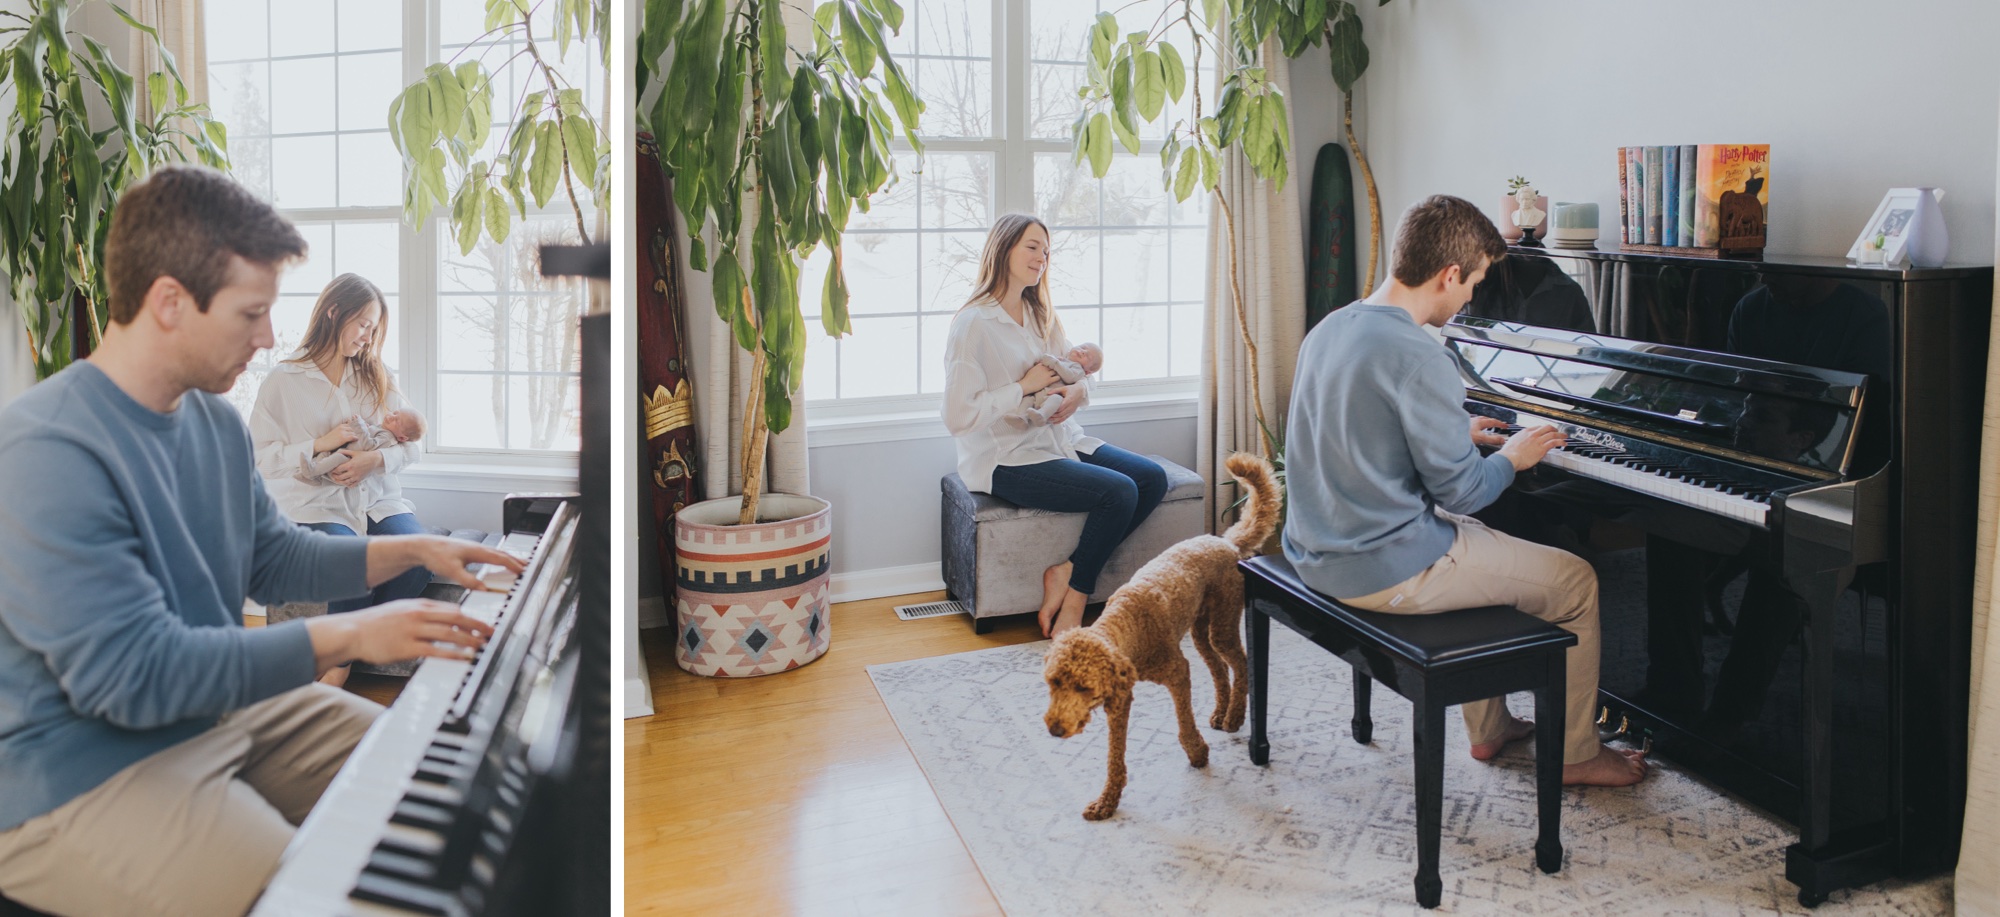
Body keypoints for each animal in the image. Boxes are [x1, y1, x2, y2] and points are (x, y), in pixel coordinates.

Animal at [1048, 454, 1280, 820]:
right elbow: (1115, 757)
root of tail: (1225, 541)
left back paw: (1234, 717)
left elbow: (1183, 720)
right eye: (1054, 682)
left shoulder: (1178, 672)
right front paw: (1107, 801)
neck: (1129, 625)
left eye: (1084, 688)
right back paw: (1220, 712)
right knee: (1218, 669)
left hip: (1222, 622)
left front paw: (1197, 753)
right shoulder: (1120, 701)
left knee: (1241, 663)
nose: (1055, 730)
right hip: (1200, 630)